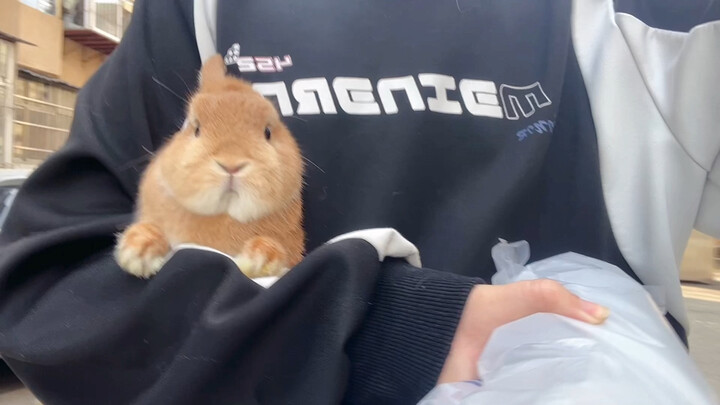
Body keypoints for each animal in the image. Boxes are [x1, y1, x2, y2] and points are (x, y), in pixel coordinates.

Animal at [115, 54, 305, 279]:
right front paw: (138, 249)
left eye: (267, 132)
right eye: (196, 128)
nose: (231, 164)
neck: (224, 213)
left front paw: (260, 258)